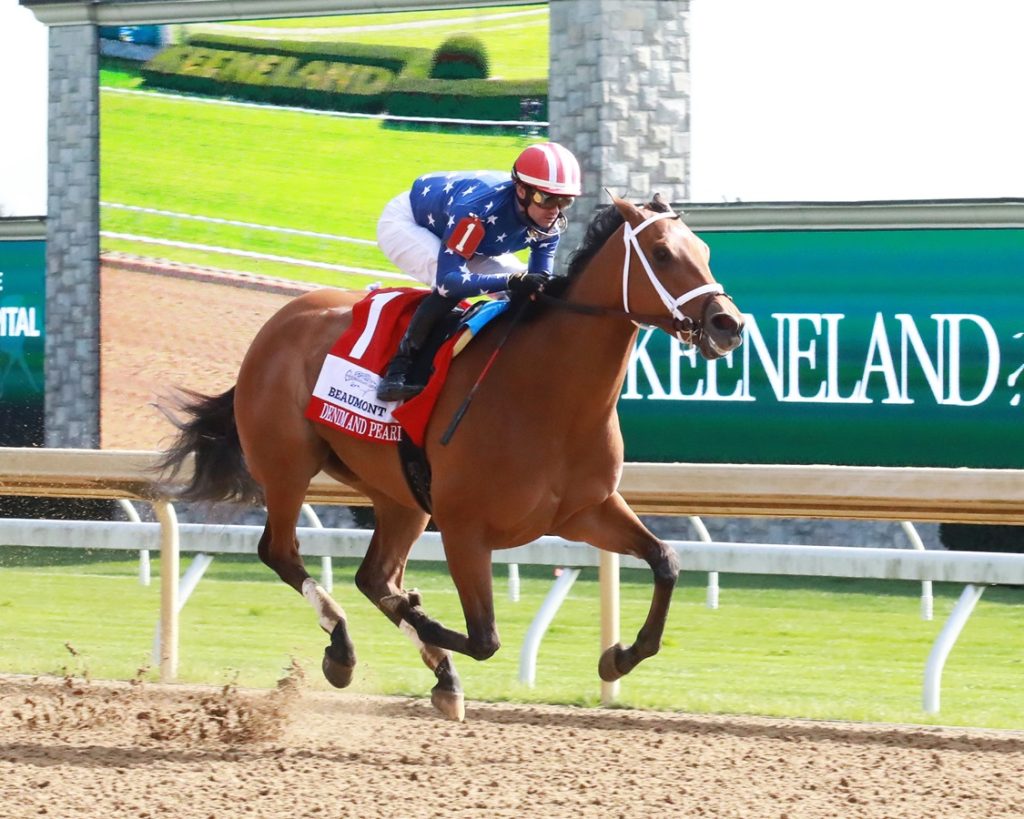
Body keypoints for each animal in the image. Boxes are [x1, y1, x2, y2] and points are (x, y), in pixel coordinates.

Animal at [157, 195, 745, 720]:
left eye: (705, 251)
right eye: (663, 253)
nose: (728, 324)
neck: (550, 393)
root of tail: (276, 324)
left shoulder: (586, 511)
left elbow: (665, 561)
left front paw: (619, 656)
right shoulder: (465, 529)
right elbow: (485, 638)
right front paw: (422, 614)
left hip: (399, 495)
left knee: (374, 578)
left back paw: (436, 673)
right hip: (287, 466)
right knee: (282, 553)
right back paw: (345, 649)